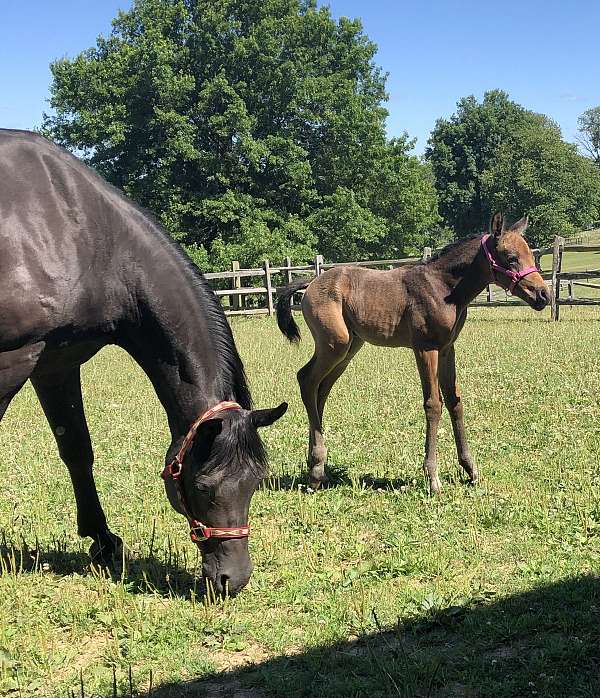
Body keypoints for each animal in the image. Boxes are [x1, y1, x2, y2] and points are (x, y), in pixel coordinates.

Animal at [0, 128, 286, 596]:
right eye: (204, 487)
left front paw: (103, 541)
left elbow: (77, 449)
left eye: (256, 482)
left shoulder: (57, 363)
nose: (232, 579)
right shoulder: (15, 359)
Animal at [278, 212, 552, 490]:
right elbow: (433, 404)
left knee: (321, 389)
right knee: (306, 379)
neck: (443, 288)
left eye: (531, 255)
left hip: (349, 349)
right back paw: (316, 468)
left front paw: (470, 469)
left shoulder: (447, 349)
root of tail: (312, 282)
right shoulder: (425, 348)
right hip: (335, 344)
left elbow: (454, 401)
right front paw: (432, 477)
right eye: (511, 257)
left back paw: (317, 468)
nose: (544, 295)